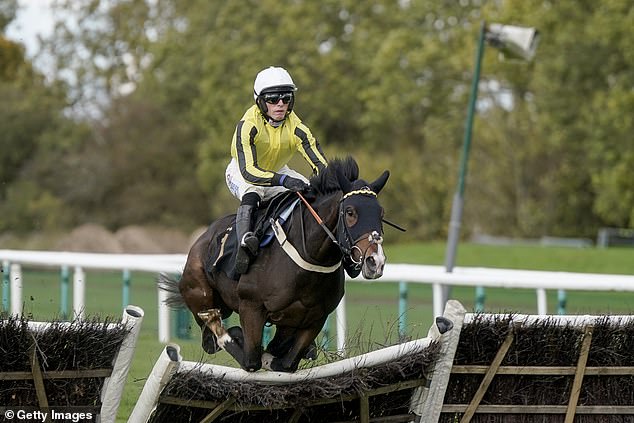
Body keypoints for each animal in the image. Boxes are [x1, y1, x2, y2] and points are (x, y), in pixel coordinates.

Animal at [158, 157, 388, 372]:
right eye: (350, 212)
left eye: (381, 213)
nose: (375, 262)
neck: (309, 260)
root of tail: (202, 238)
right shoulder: (251, 308)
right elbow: (252, 361)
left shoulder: (313, 318)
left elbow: (284, 363)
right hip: (199, 293)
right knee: (212, 332)